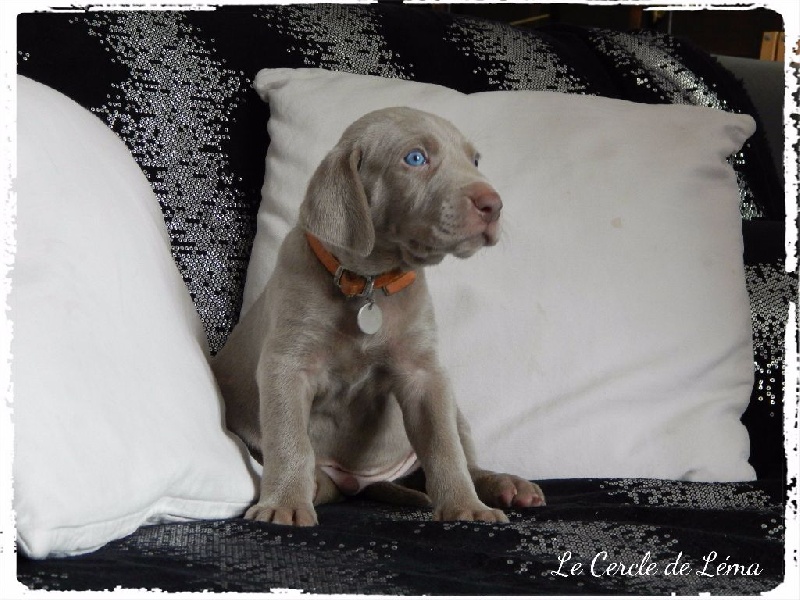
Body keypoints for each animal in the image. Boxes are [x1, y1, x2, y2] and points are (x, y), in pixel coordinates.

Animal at [213, 107, 545, 526]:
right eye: (415, 158)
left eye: (474, 161)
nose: (493, 204)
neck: (368, 284)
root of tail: (364, 483)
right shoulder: (286, 365)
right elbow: (290, 440)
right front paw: (284, 504)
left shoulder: (425, 376)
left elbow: (444, 446)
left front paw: (464, 506)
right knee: (324, 477)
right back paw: (316, 486)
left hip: (454, 407)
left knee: (464, 456)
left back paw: (504, 486)